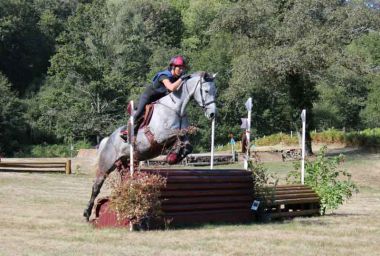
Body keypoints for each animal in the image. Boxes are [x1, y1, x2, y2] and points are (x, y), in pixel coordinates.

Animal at [84, 71, 218, 220]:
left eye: (215, 92)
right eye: (206, 91)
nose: (212, 114)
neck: (177, 109)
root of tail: (108, 139)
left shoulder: (181, 134)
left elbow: (187, 144)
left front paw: (174, 156)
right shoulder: (161, 136)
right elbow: (178, 135)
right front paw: (173, 155)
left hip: (126, 163)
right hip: (107, 164)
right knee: (96, 185)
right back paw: (87, 213)